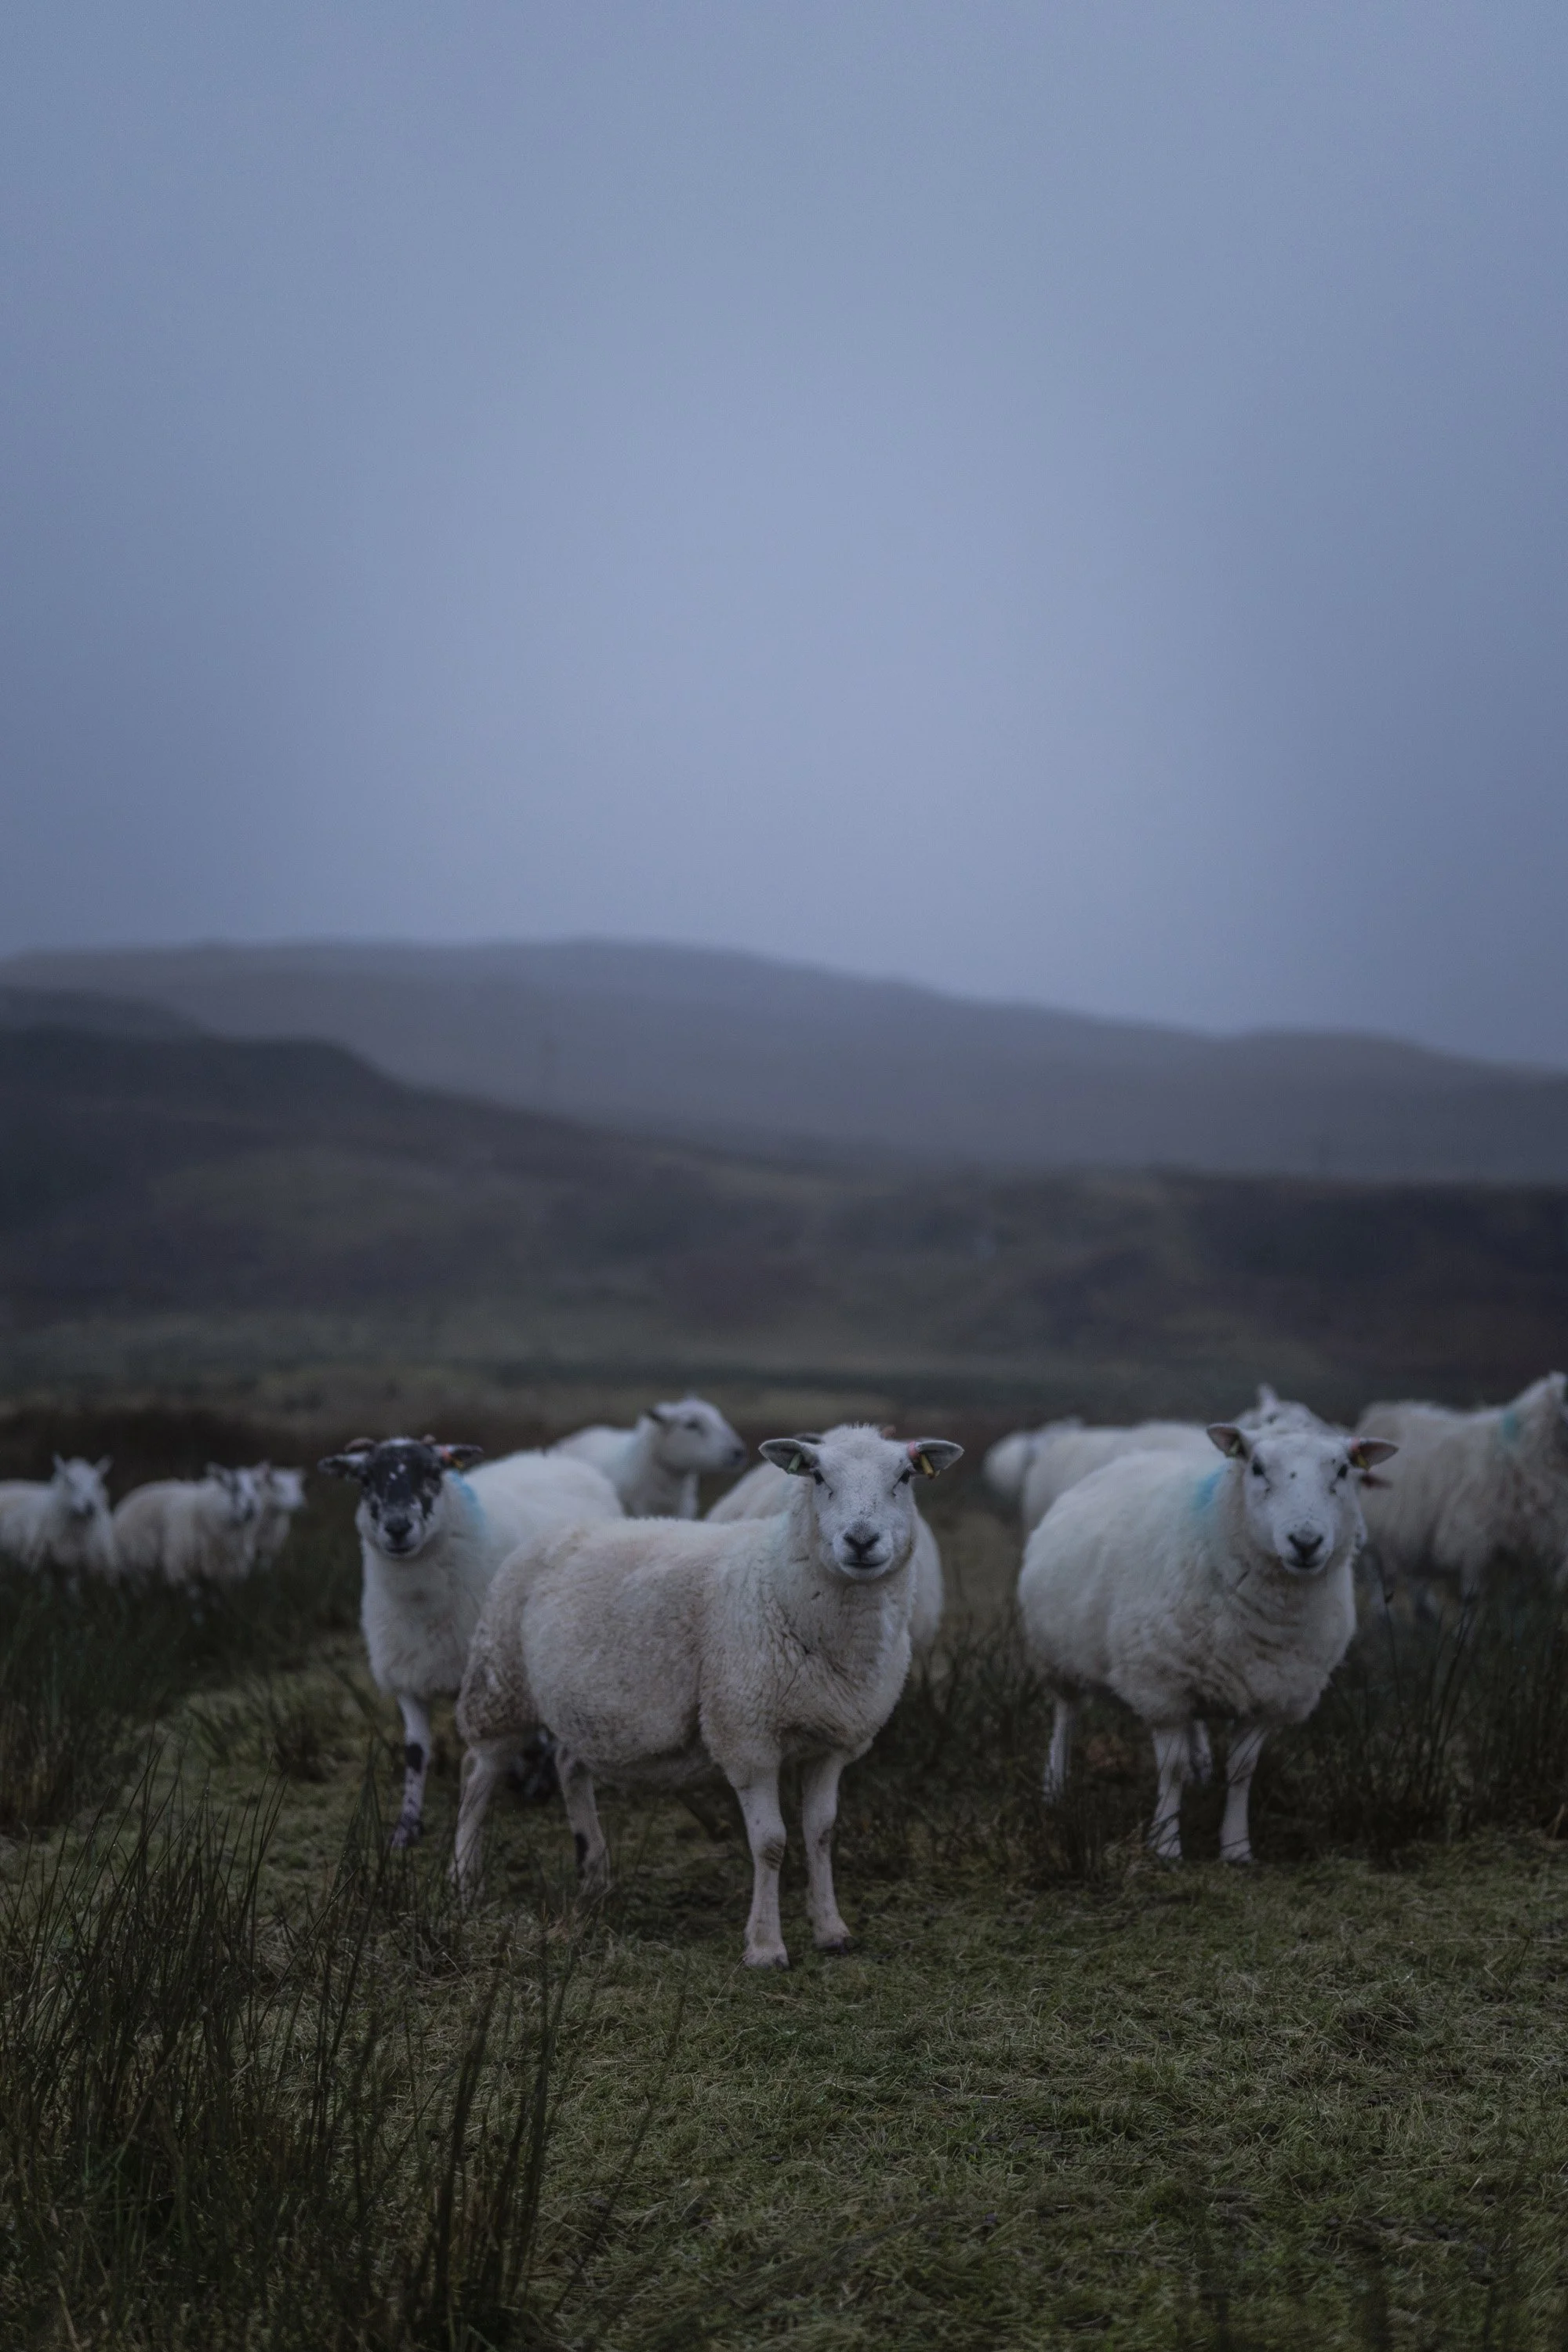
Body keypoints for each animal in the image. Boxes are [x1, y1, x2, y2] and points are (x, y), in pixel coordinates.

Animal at [319, 1435, 622, 1846]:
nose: (398, 1527)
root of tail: (559, 1460)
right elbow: (416, 1752)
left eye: (433, 1472)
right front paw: (406, 1828)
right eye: (365, 1478)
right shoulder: (408, 1674)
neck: (421, 1605)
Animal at [1018, 1420, 1395, 1863]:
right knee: (1066, 1718)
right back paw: (1056, 1788)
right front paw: (1165, 1845)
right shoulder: (1161, 1684)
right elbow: (1171, 1770)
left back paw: (1201, 1767)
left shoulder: (1270, 1693)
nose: (1305, 1541)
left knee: (1194, 1723)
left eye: (1342, 1471)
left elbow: (1242, 1772)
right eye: (1256, 1467)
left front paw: (1236, 1848)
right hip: (1058, 1657)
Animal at [1355, 1372, 1568, 1602]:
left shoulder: (1526, 1550)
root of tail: (1381, 1410)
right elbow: (1472, 1596)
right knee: (1379, 1587)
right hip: (1375, 1544)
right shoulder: (1473, 1541)